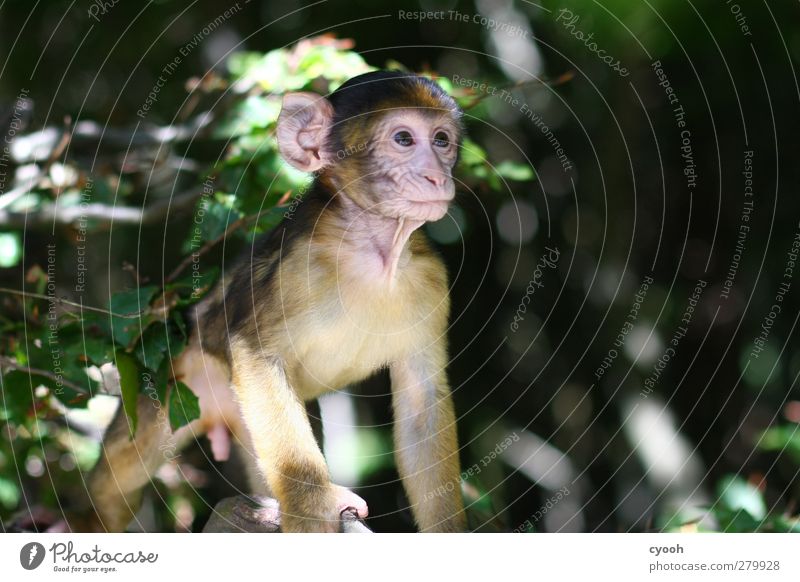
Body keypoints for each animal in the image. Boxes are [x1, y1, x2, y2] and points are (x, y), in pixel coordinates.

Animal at [87, 72, 466, 532]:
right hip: (173, 385)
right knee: (114, 486)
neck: (373, 251)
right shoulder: (295, 270)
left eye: (442, 140)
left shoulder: (432, 279)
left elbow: (420, 400)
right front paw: (312, 510)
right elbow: (255, 355)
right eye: (404, 139)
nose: (437, 177)